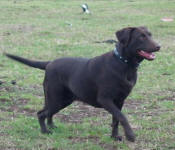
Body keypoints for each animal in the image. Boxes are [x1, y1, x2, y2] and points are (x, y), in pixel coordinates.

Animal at [5, 26, 160, 141]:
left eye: (150, 35)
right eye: (141, 37)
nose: (159, 46)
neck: (124, 64)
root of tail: (49, 63)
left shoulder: (120, 100)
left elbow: (116, 119)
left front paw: (114, 137)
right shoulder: (105, 99)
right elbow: (122, 117)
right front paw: (130, 135)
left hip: (63, 100)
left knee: (48, 113)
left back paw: (52, 126)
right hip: (55, 98)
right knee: (41, 113)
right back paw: (45, 131)